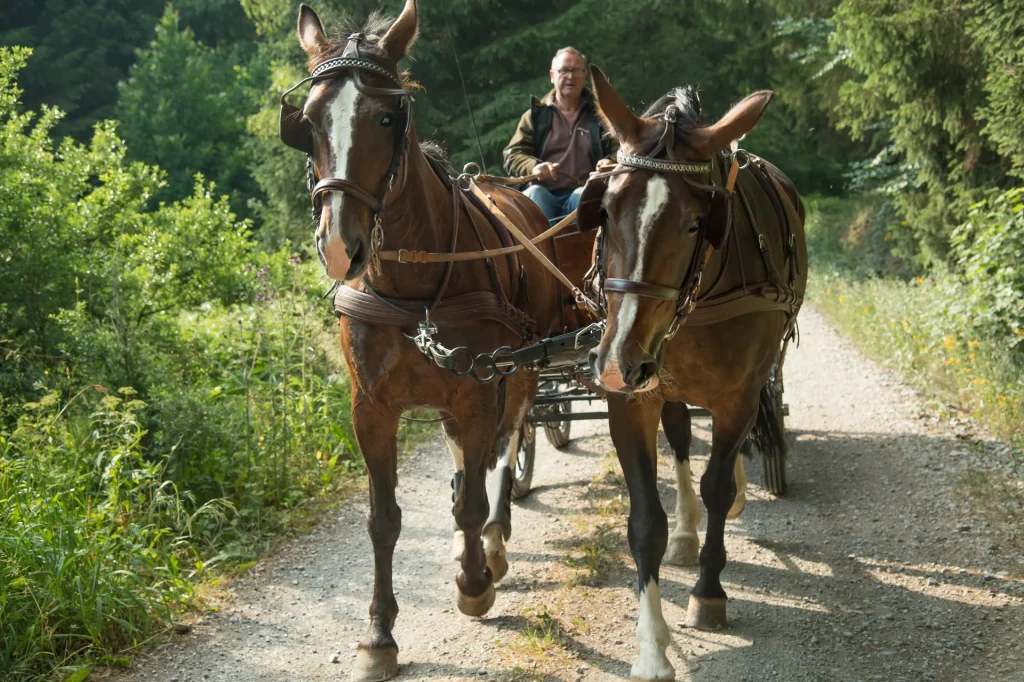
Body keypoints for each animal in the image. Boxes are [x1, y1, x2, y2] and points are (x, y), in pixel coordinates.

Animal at [580, 67, 807, 680]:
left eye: (698, 222)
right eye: (603, 209)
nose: (619, 362)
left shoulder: (737, 395)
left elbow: (717, 482)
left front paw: (708, 592)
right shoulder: (631, 399)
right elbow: (645, 523)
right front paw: (652, 649)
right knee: (681, 437)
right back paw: (687, 531)